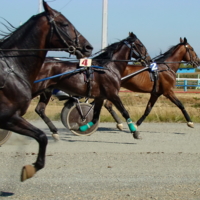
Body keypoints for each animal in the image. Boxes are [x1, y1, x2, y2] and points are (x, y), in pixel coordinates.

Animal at [0, 0, 93, 181]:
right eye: (64, 23)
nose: (88, 47)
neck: (12, 67)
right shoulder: (8, 116)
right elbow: (42, 137)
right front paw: (32, 168)